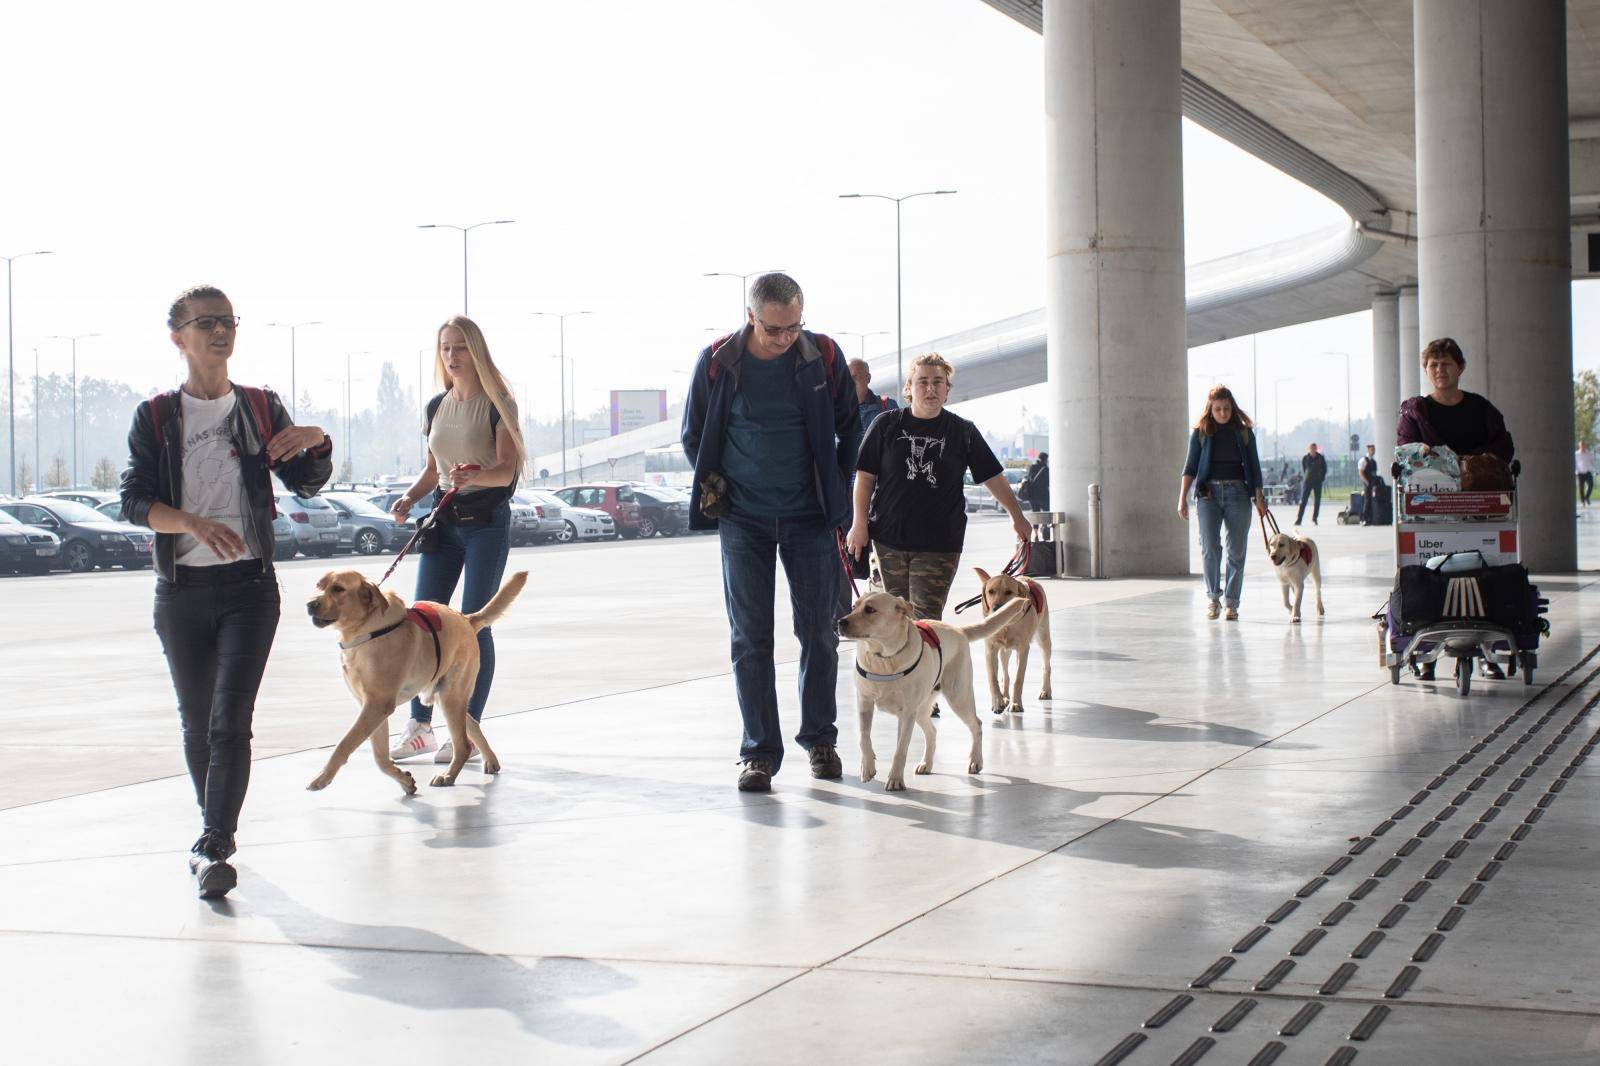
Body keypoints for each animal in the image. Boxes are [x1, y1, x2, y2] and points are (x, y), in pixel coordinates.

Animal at [300, 563, 524, 787]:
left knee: (463, 745)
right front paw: (404, 780)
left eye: (338, 589)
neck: (364, 630)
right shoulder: (372, 707)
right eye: (319, 585)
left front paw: (322, 777)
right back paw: (490, 759)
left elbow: (344, 744)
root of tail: (466, 619)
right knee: (472, 725)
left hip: (451, 696)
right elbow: (380, 757)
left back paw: (448, 775)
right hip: (446, 696)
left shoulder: (376, 705)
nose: (309, 604)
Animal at [838, 589, 1024, 787]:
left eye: (870, 609)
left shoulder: (907, 713)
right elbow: (863, 737)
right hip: (922, 709)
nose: (840, 622)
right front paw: (867, 767)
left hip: (957, 697)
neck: (885, 659)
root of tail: (959, 630)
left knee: (977, 725)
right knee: (932, 732)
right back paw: (926, 763)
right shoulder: (864, 703)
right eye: (854, 606)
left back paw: (975, 760)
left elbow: (900, 749)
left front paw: (895, 778)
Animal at [966, 569, 1056, 710]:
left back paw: (1045, 690)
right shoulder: (990, 649)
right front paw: (998, 701)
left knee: (1046, 666)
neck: (1006, 624)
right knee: (1005, 674)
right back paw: (1005, 697)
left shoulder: (1023, 650)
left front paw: (1015, 703)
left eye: (1009, 592)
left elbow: (1018, 679)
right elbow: (993, 678)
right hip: (1005, 651)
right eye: (991, 591)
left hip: (1043, 639)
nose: (997, 608)